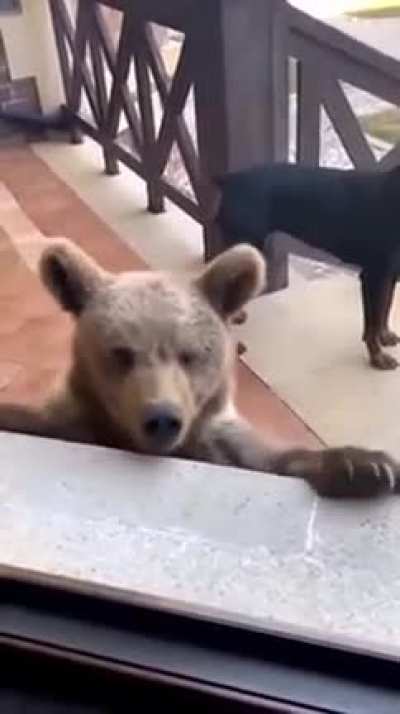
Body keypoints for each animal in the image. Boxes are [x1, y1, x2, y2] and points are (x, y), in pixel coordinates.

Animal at [0, 237, 398, 499]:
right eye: (122, 353)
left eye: (189, 354)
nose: (162, 418)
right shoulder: (75, 421)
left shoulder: (222, 444)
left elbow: (271, 457)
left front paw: (368, 466)